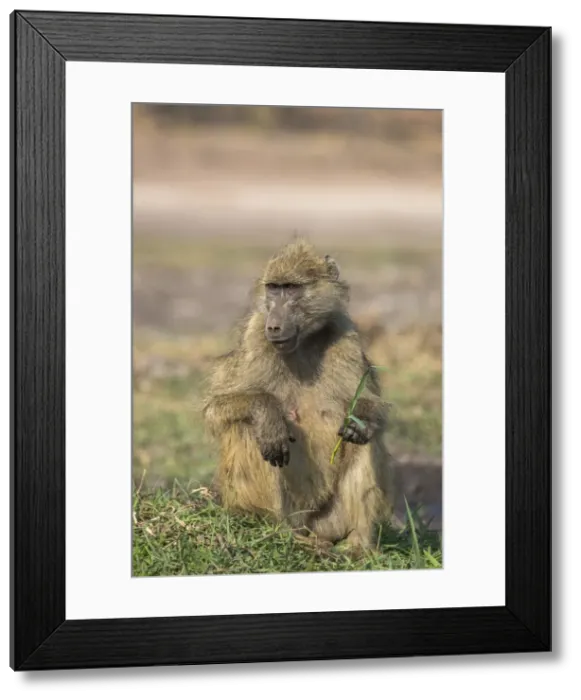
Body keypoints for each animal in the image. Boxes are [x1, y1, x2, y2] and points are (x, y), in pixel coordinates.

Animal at [202, 238, 394, 551]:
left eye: (291, 288)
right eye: (273, 288)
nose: (274, 325)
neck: (303, 343)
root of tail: (306, 525)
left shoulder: (346, 337)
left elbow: (371, 407)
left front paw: (362, 419)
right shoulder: (255, 336)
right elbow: (215, 409)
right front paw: (268, 416)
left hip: (329, 520)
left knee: (364, 441)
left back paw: (357, 546)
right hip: (275, 509)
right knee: (245, 428)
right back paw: (280, 531)